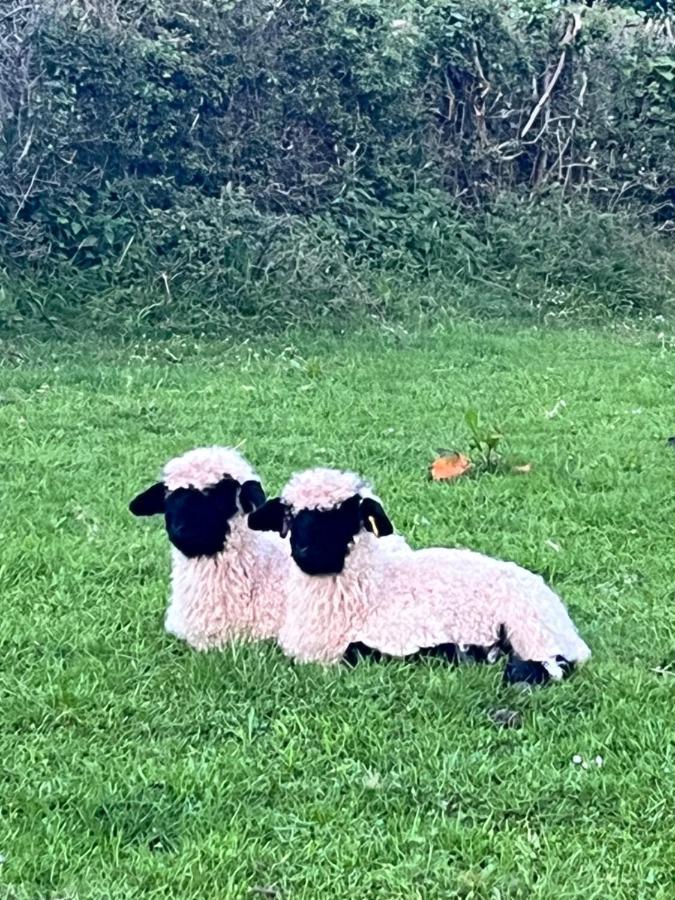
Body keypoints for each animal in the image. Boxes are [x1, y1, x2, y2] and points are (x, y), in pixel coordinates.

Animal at [248, 468, 592, 684]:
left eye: (346, 517)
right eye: (290, 516)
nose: (307, 552)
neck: (371, 591)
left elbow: (359, 650)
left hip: (531, 630)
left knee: (552, 665)